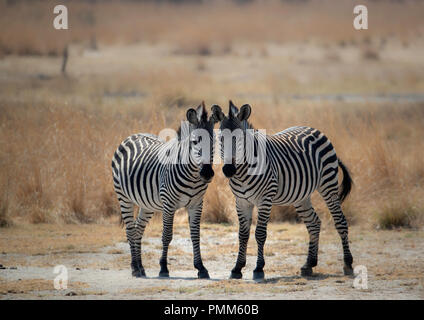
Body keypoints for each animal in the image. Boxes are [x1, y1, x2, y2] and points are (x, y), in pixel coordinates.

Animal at [111, 102, 220, 278]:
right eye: (194, 142)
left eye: (214, 142)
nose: (207, 173)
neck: (193, 176)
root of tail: (133, 135)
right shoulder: (169, 204)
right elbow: (167, 236)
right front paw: (163, 268)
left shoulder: (197, 204)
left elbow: (195, 236)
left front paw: (201, 268)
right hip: (123, 197)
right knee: (130, 230)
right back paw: (134, 267)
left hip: (147, 203)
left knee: (138, 229)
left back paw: (140, 267)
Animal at [212, 100, 354, 280]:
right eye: (220, 138)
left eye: (241, 139)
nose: (229, 170)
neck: (243, 172)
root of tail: (314, 129)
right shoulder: (241, 201)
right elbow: (242, 235)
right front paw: (237, 268)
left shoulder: (265, 199)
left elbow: (260, 233)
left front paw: (259, 269)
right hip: (301, 196)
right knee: (314, 223)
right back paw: (309, 264)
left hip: (328, 184)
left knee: (340, 221)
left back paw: (348, 263)